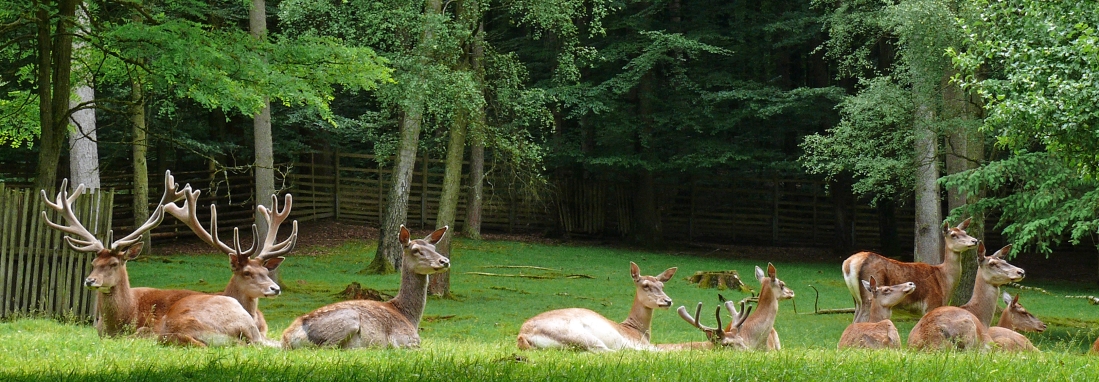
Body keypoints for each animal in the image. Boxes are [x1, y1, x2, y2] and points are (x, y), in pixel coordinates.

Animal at [151, 187, 296, 346]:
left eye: (266, 271)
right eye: (247, 272)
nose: (275, 288)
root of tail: (179, 334)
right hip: (241, 318)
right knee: (262, 343)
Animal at [283, 227, 454, 349]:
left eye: (434, 248)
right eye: (416, 250)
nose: (444, 261)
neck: (411, 318)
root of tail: (287, 338)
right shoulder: (406, 339)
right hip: (349, 319)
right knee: (327, 348)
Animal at [514, 262, 676, 351]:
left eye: (662, 285)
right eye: (645, 285)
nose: (668, 301)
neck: (637, 331)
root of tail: (523, 335)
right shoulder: (638, 343)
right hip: (578, 335)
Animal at [839, 217, 980, 322]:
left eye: (965, 233)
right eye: (953, 235)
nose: (975, 240)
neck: (944, 281)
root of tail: (848, 264)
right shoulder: (932, 303)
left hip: (857, 300)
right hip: (869, 295)